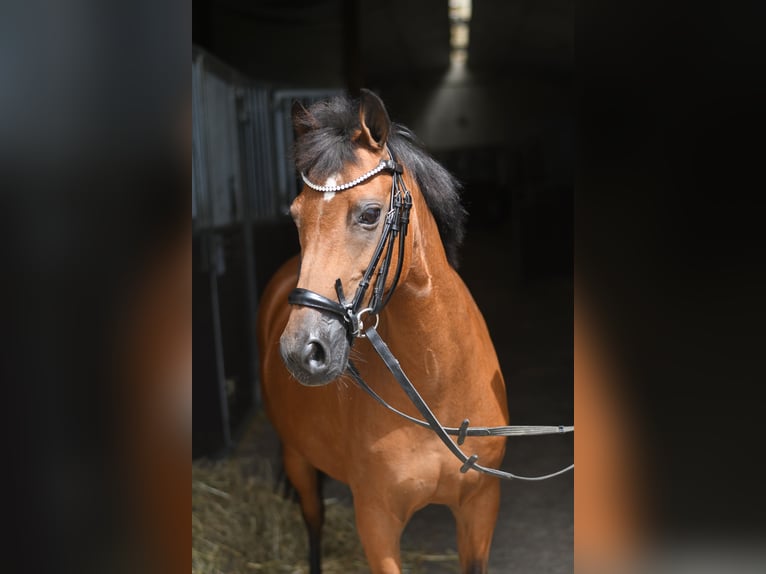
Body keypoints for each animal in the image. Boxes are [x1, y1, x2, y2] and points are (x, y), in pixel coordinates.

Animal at [256, 89, 509, 574]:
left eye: (371, 214)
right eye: (296, 217)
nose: (302, 351)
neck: (436, 383)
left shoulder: (480, 507)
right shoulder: (376, 519)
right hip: (298, 459)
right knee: (313, 521)